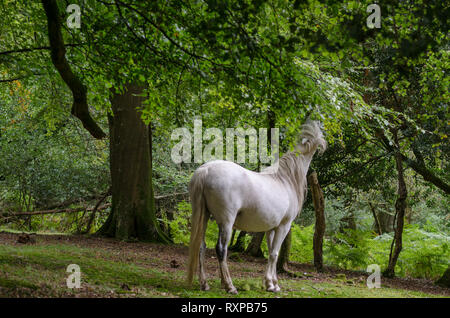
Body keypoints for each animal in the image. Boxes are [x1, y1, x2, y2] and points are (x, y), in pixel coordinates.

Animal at [186, 120, 326, 294]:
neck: (284, 180)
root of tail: (205, 170)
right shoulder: (283, 226)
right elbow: (274, 253)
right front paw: (274, 286)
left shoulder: (271, 228)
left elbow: (271, 252)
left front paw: (271, 283)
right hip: (226, 223)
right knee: (221, 250)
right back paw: (230, 286)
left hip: (204, 217)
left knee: (201, 246)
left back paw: (205, 284)